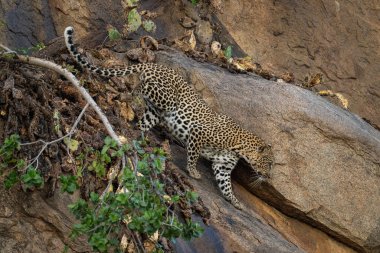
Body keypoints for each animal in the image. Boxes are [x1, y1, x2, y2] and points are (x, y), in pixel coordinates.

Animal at [64, 26, 274, 210]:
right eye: (270, 163)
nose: (268, 177)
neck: (241, 148)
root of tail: (156, 65)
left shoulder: (222, 167)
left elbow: (226, 187)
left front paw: (236, 202)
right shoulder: (199, 133)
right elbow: (193, 155)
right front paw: (193, 172)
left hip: (155, 112)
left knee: (143, 121)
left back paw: (140, 137)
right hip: (167, 99)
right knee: (141, 87)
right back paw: (131, 94)